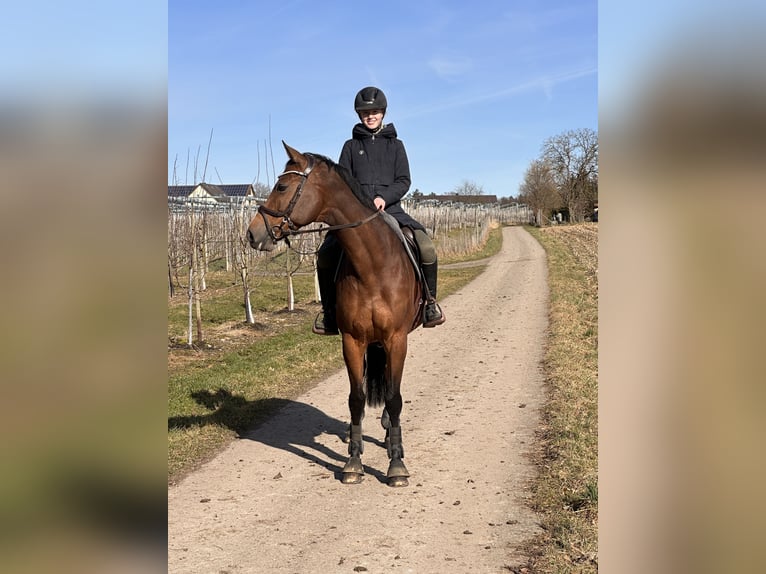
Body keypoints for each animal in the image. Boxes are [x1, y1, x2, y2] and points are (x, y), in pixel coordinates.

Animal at [247, 142, 425, 487]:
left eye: (282, 186)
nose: (251, 234)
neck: (372, 266)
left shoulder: (397, 339)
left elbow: (394, 397)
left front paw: (396, 464)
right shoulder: (352, 340)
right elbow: (356, 398)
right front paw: (353, 462)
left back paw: (388, 433)